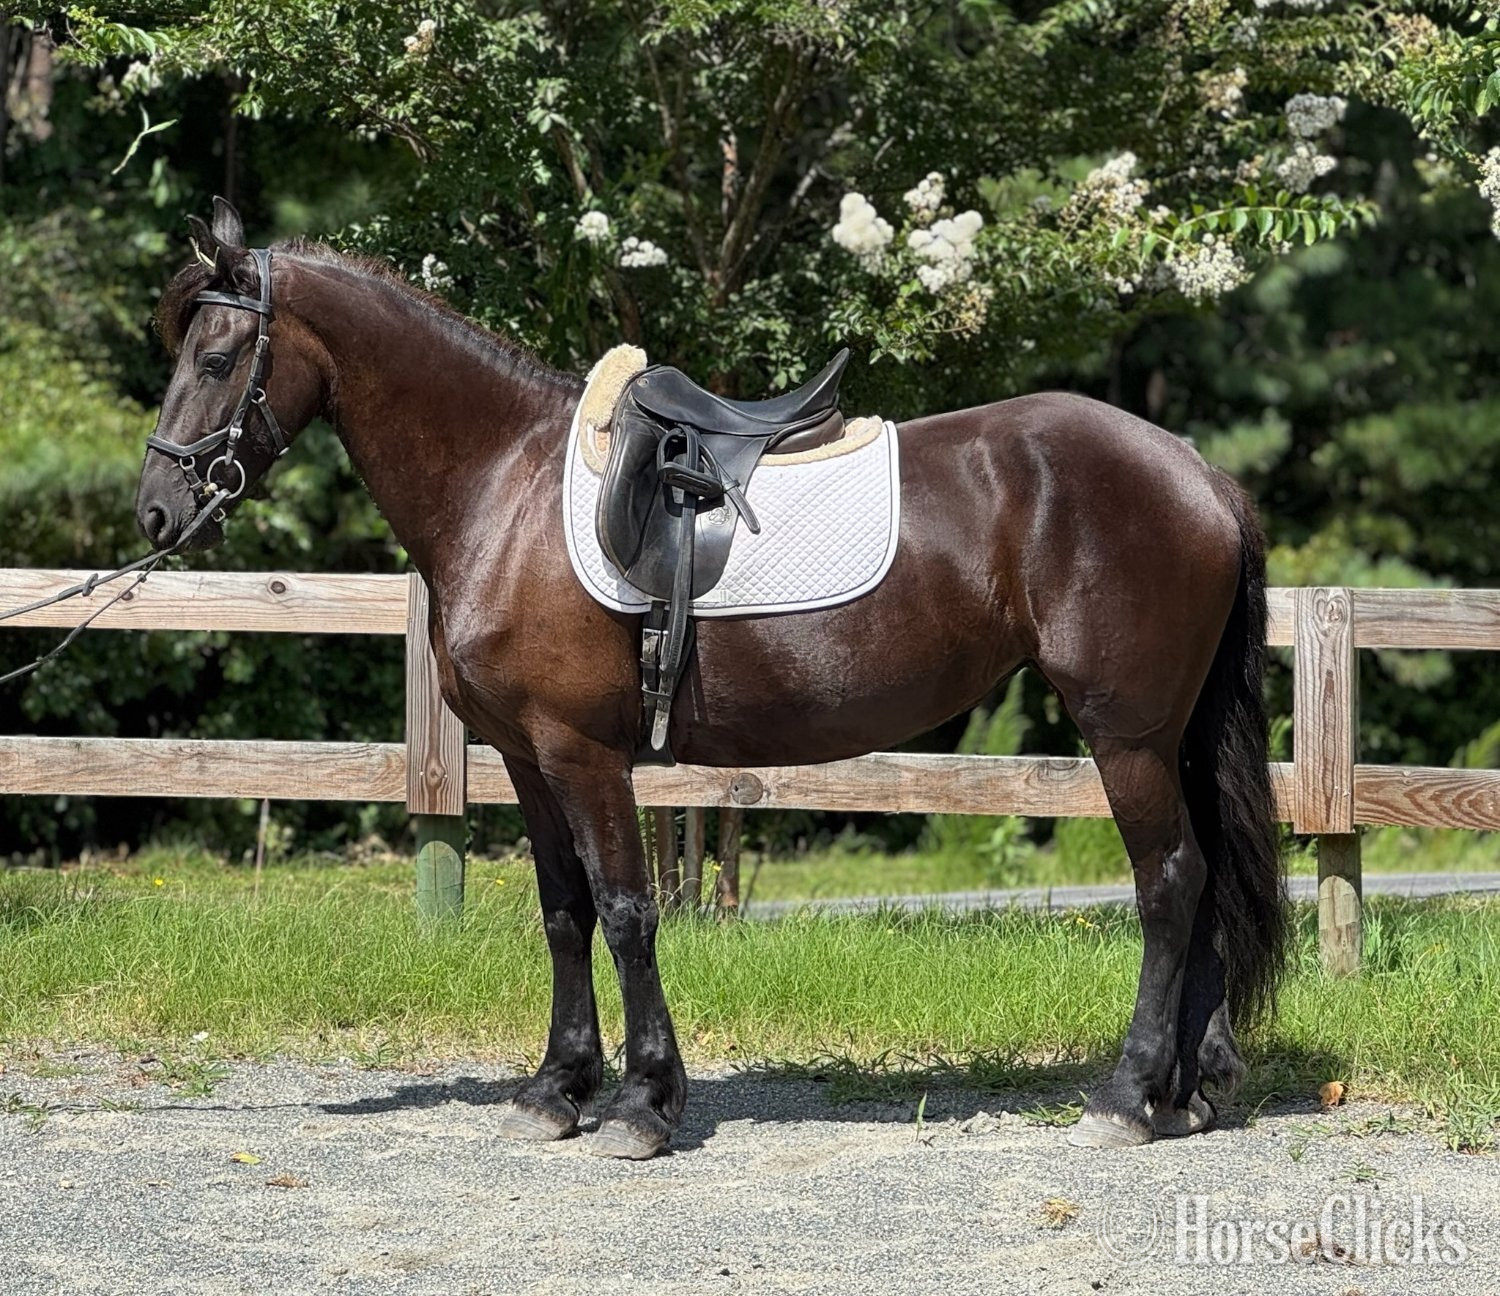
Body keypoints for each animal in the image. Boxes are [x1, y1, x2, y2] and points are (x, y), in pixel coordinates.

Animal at [135, 198, 1286, 1159]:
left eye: (221, 354)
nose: (156, 511)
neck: (503, 485)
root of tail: (1198, 473)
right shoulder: (525, 759)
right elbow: (565, 914)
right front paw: (557, 1090)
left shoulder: (583, 754)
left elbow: (626, 909)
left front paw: (642, 1106)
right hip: (1172, 736)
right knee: (1206, 878)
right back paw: (1190, 1091)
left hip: (1125, 737)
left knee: (1170, 882)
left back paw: (1128, 1098)